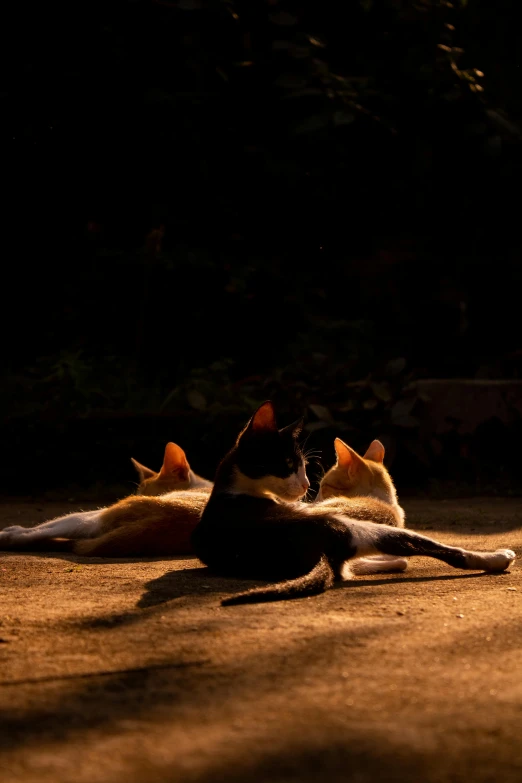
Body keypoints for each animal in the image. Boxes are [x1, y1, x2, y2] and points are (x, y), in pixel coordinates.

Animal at [189, 402, 512, 608]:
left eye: (304, 467)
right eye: (291, 465)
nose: (307, 488)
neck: (233, 488)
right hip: (360, 529)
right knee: (442, 550)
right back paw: (499, 557)